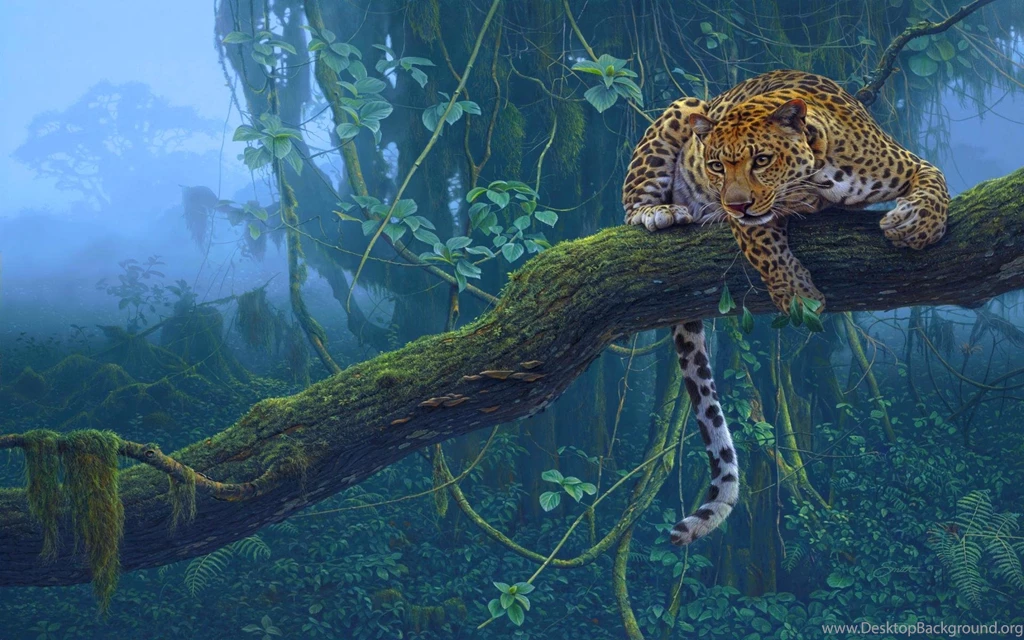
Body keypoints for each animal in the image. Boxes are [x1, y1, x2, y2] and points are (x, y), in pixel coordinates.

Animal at [621, 70, 949, 546]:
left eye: (761, 159)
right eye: (715, 165)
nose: (734, 203)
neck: (819, 175)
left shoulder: (906, 163)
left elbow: (935, 180)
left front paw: (917, 225)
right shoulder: (748, 222)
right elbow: (764, 244)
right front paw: (797, 294)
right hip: (683, 107)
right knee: (631, 207)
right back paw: (660, 212)